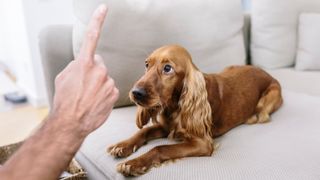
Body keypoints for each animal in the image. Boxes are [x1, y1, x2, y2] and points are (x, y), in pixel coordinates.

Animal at [107, 44, 282, 176]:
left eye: (167, 68)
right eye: (146, 64)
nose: (135, 92)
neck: (175, 107)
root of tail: (265, 71)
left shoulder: (202, 143)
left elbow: (160, 147)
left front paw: (134, 163)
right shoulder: (166, 127)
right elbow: (143, 131)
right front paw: (122, 145)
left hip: (269, 97)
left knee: (263, 115)